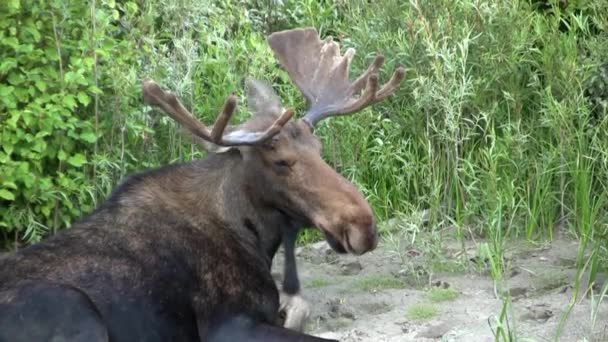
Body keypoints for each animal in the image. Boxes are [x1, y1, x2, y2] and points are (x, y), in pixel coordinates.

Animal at [0, 28, 404, 340]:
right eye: (280, 162)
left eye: (319, 150)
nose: (363, 225)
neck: (257, 235)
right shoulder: (230, 323)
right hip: (75, 311)